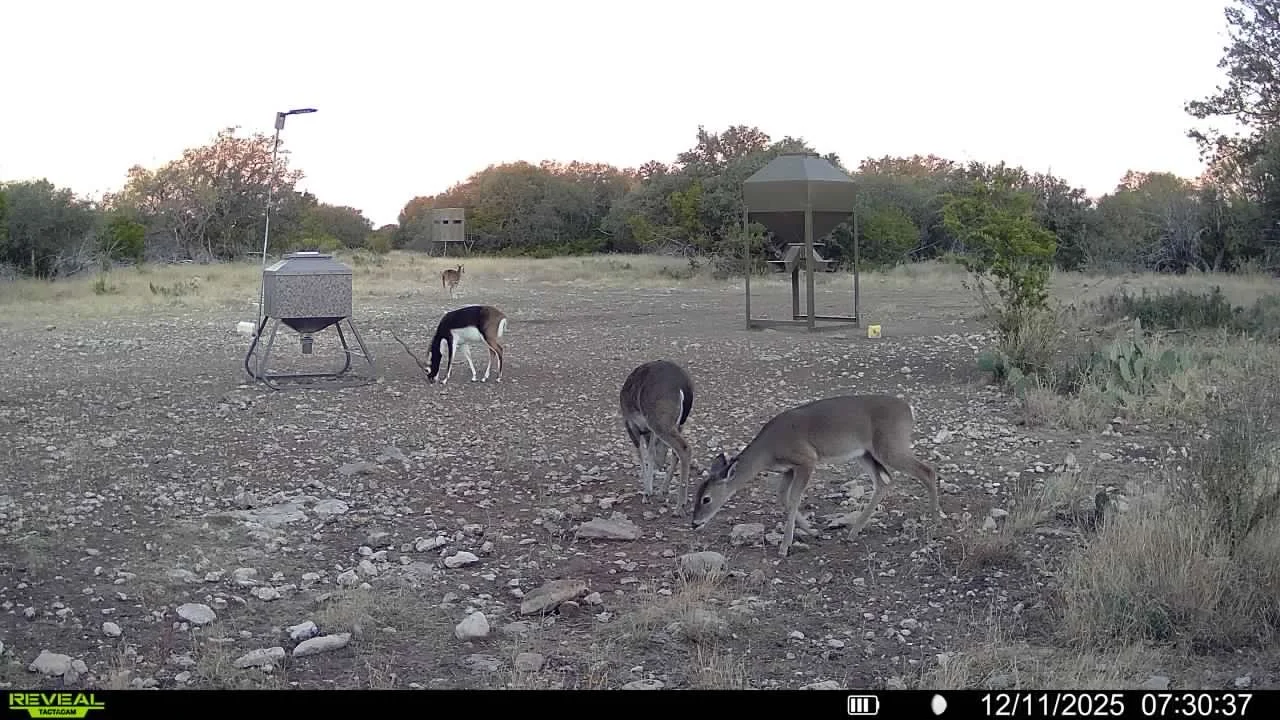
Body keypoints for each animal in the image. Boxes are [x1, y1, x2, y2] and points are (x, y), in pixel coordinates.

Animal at [619, 360, 696, 511]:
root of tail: (682, 386)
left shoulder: (631, 426)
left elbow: (643, 455)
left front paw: (646, 492)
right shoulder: (650, 431)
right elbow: (652, 453)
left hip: (660, 422)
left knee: (684, 448)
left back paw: (679, 506)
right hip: (677, 424)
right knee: (675, 453)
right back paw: (664, 490)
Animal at [691, 393, 941, 558]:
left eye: (706, 499)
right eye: (695, 495)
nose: (694, 523)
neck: (768, 450)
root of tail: (909, 409)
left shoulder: (806, 460)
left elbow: (793, 498)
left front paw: (784, 547)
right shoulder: (788, 469)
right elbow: (782, 497)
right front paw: (813, 531)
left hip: (890, 445)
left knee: (927, 471)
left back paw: (934, 520)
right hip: (865, 453)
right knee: (884, 481)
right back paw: (853, 532)